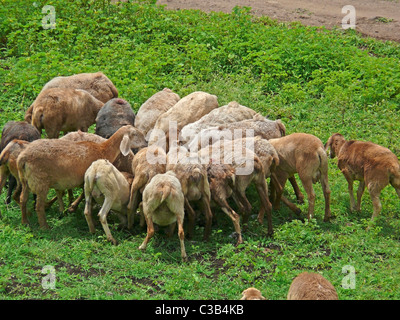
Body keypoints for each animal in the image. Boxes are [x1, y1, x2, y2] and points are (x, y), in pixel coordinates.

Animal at [16, 124, 147, 229]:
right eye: (135, 134)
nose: (146, 142)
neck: (103, 149)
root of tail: (23, 158)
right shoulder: (86, 180)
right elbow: (86, 198)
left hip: (25, 180)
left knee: (23, 199)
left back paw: (25, 222)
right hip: (40, 181)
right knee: (39, 206)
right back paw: (44, 227)